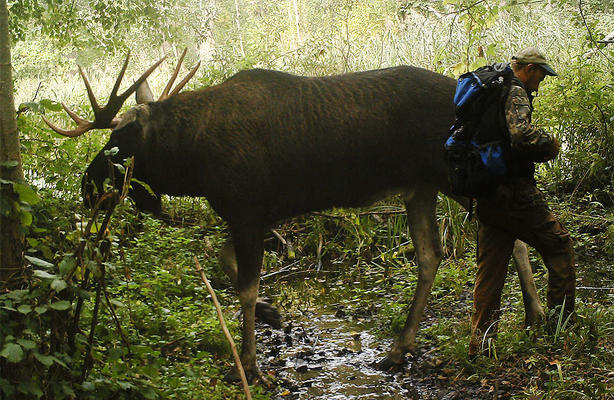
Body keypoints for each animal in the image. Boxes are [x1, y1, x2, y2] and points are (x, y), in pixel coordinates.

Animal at [42, 52, 544, 382]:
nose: (87, 187)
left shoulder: (246, 210)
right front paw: (273, 313)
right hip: (421, 188)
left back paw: (535, 314)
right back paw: (402, 347)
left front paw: (249, 364)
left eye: (119, 140)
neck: (193, 163)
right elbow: (227, 265)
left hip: (455, 176)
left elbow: (244, 287)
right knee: (431, 255)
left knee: (511, 233)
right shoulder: (258, 214)